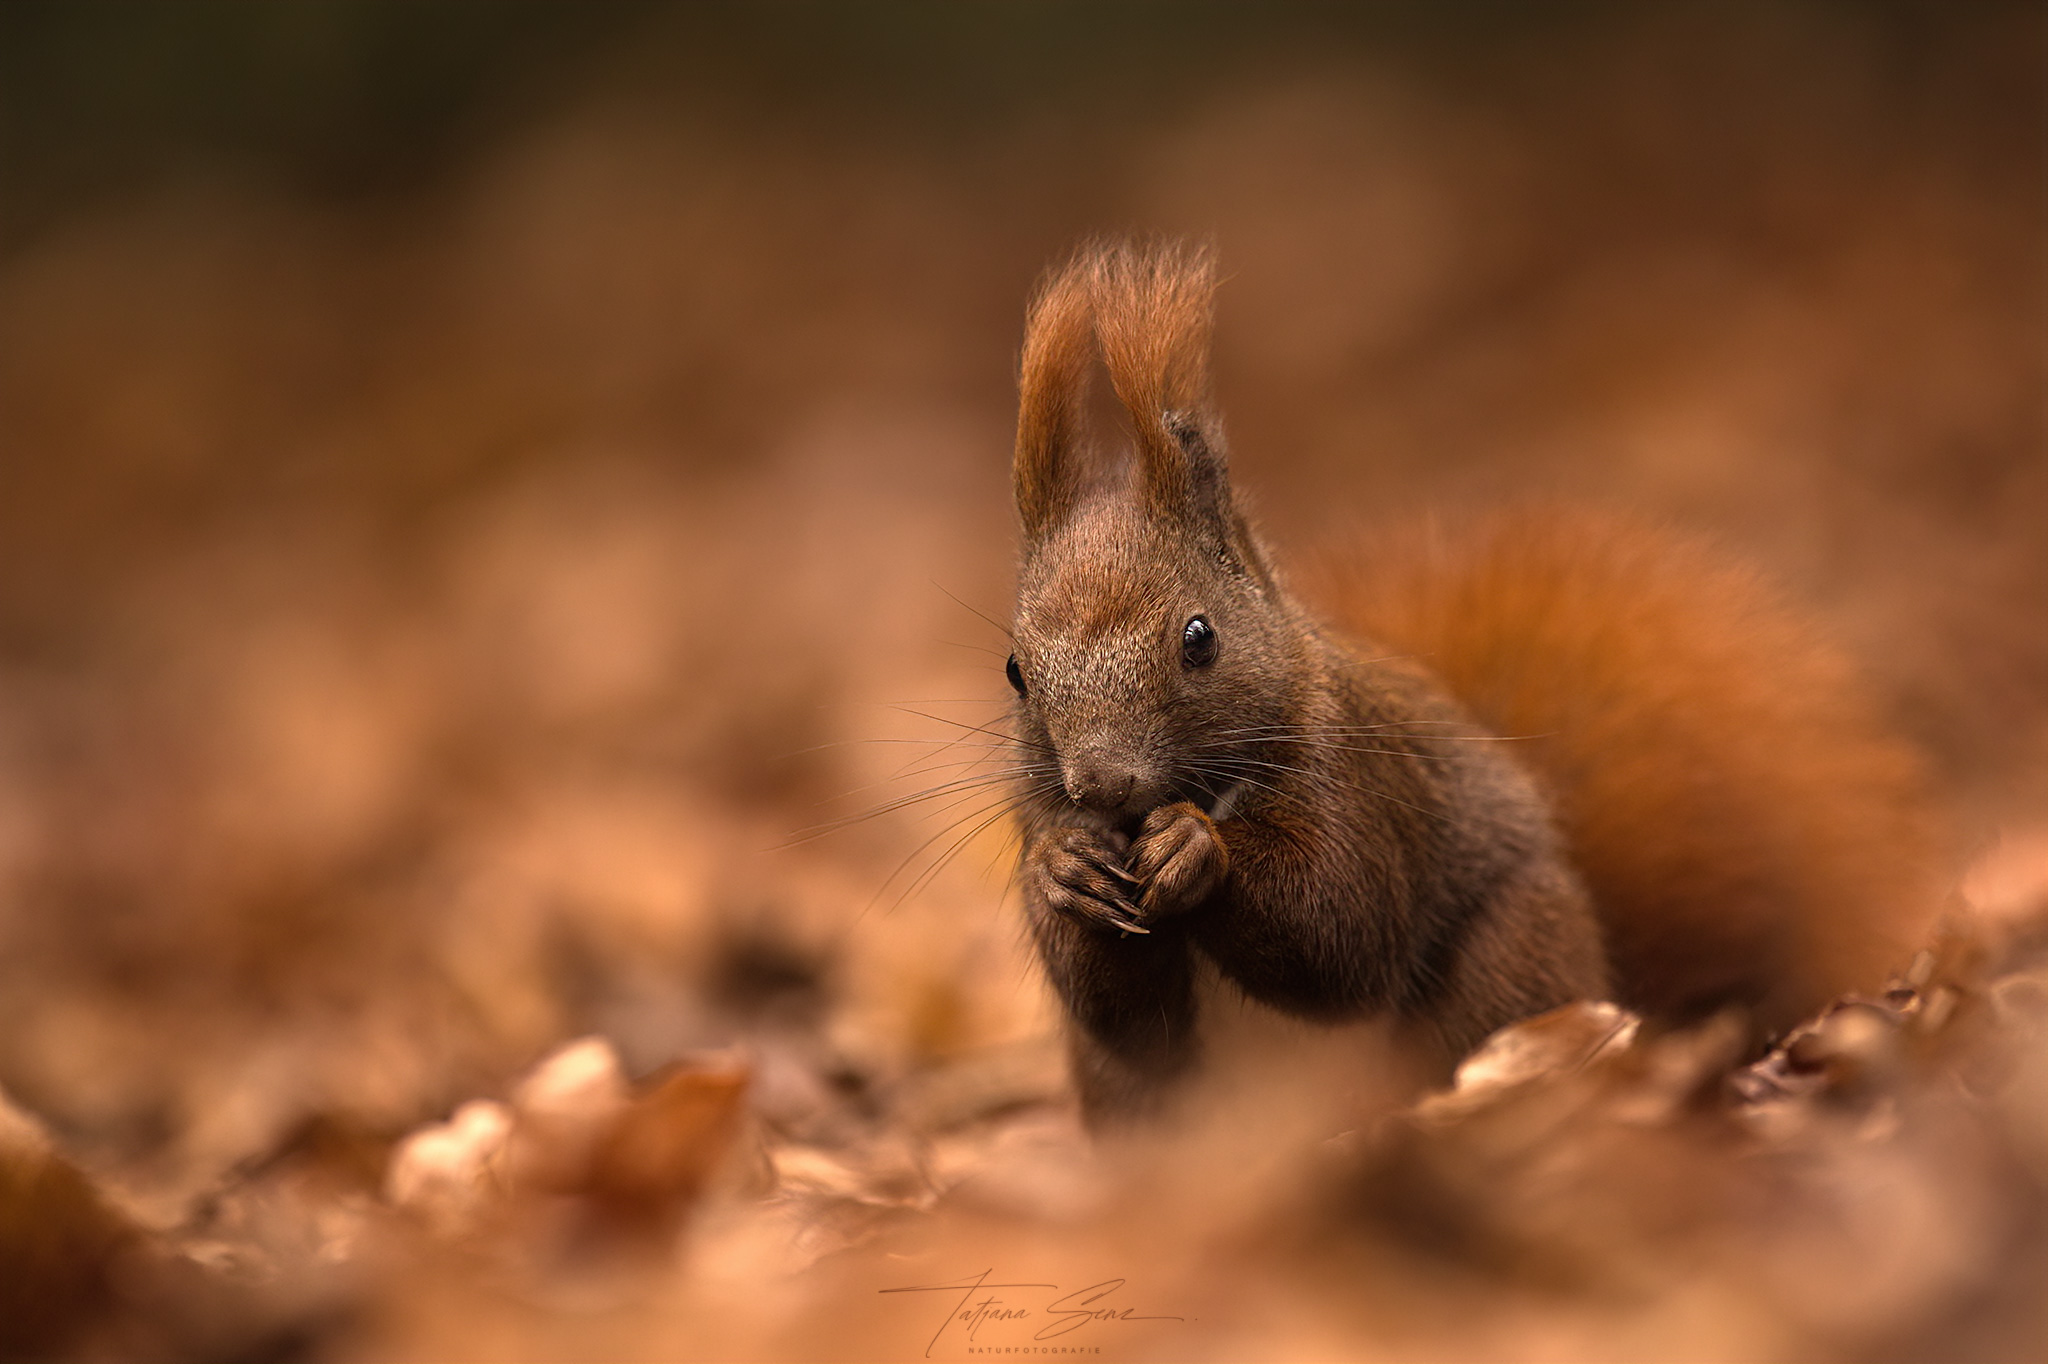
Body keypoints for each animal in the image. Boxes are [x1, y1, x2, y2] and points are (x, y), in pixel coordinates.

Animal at [1003, 241, 1942, 1125]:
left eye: (1199, 639)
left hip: (1506, 965)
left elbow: (1342, 931)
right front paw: (1064, 870)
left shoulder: (1362, 785)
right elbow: (1129, 1019)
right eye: (1015, 670)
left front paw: (1198, 848)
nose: (1101, 784)